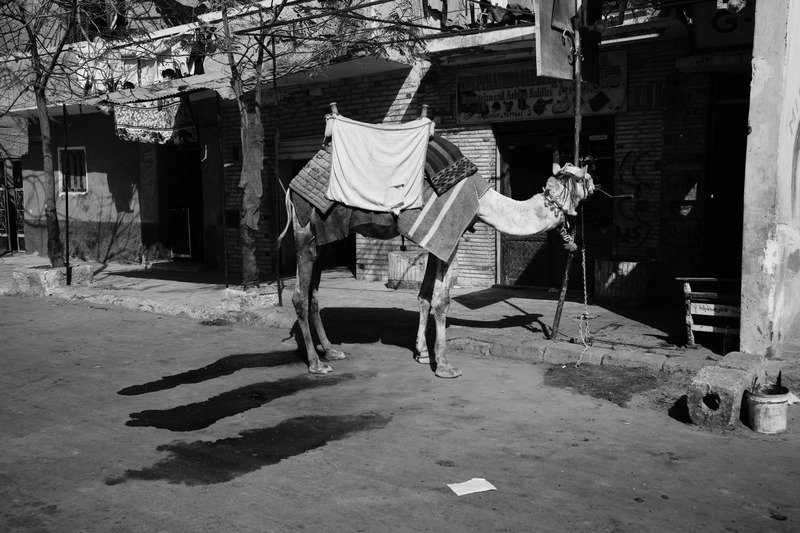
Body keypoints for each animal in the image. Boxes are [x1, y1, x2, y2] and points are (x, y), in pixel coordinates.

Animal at [282, 150, 595, 378]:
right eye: (583, 177)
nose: (596, 185)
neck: (482, 200)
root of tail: (294, 185)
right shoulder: (450, 237)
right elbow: (441, 301)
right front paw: (444, 365)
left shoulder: (437, 243)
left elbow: (423, 297)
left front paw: (421, 353)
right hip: (304, 228)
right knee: (299, 296)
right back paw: (316, 363)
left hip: (325, 239)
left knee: (313, 294)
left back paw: (331, 351)